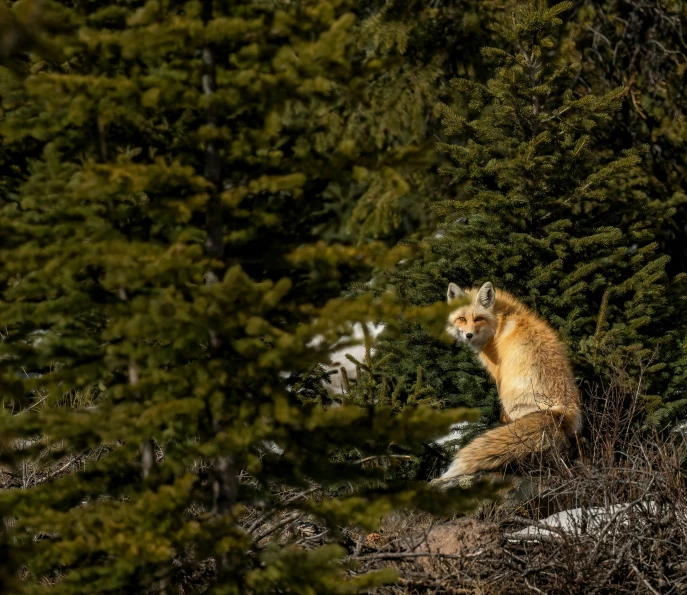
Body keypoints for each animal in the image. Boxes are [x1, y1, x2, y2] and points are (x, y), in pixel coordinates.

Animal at [436, 282, 580, 484]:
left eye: (478, 319)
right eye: (462, 319)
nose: (468, 335)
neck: (499, 323)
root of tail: (563, 413)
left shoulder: (499, 375)